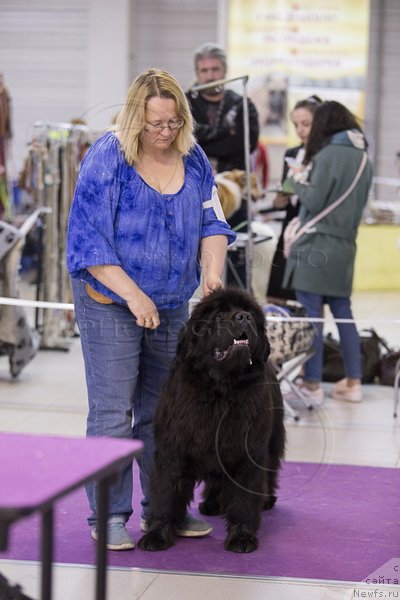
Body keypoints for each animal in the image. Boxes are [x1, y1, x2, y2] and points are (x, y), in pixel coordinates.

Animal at [139, 286, 286, 552]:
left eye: (250, 314)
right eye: (220, 315)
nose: (244, 317)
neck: (220, 390)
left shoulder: (248, 451)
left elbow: (243, 499)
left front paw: (242, 536)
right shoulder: (172, 449)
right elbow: (165, 493)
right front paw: (157, 534)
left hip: (272, 437)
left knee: (269, 468)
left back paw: (266, 498)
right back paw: (212, 503)